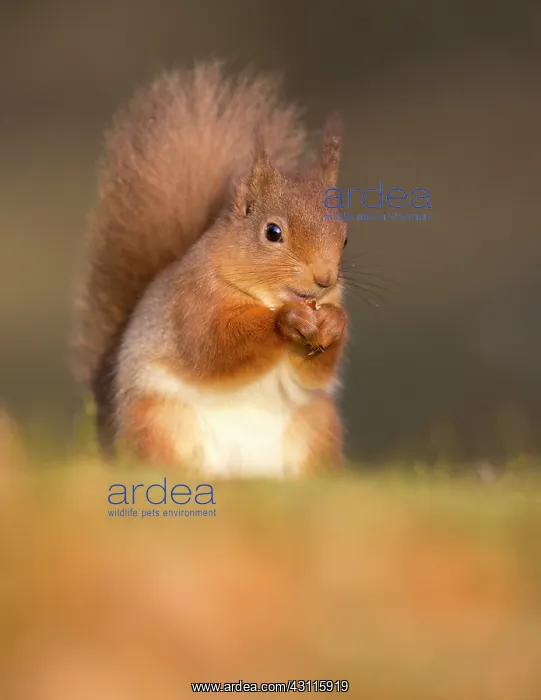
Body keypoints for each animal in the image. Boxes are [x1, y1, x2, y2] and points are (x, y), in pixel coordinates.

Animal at [74, 61, 349, 478]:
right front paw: (285, 321)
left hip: (314, 423)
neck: (262, 297)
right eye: (273, 232)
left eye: (345, 239)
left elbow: (313, 372)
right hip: (158, 420)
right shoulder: (191, 304)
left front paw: (333, 324)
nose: (324, 279)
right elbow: (214, 349)